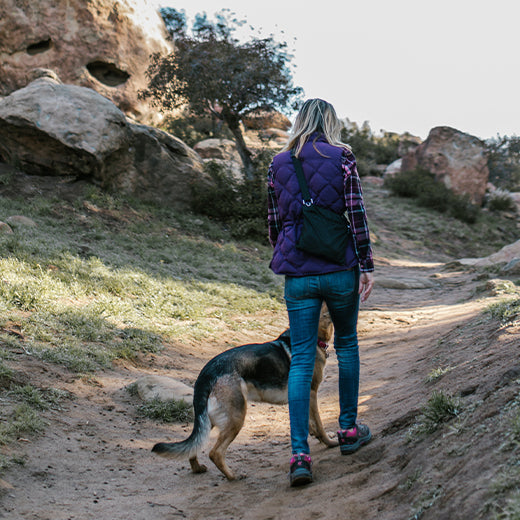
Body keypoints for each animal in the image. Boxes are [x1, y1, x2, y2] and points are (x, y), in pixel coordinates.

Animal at [152, 304, 336, 480]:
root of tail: (207, 373)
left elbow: (307, 422)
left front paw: (314, 435)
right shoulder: (311, 393)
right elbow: (319, 424)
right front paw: (329, 442)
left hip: (210, 420)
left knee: (196, 444)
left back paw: (198, 468)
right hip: (236, 418)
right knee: (215, 453)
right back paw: (233, 476)